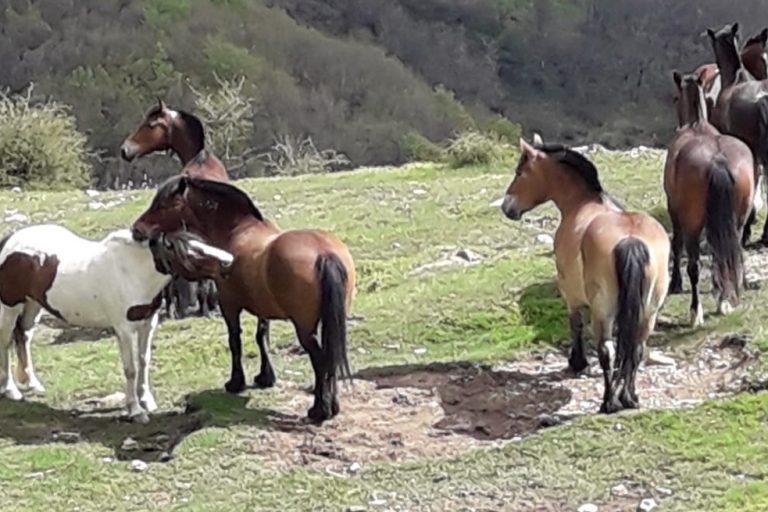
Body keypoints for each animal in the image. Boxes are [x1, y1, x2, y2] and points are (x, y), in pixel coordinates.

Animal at [0, 225, 233, 423]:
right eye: (193, 252)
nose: (230, 260)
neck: (131, 271)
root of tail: (10, 241)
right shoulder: (124, 329)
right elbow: (130, 368)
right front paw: (136, 410)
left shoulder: (148, 323)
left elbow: (144, 361)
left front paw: (147, 401)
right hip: (10, 307)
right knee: (6, 343)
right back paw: (11, 390)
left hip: (32, 305)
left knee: (23, 337)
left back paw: (33, 383)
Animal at [131, 176, 356, 423]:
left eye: (164, 204)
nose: (136, 229)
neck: (238, 231)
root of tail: (325, 254)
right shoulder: (263, 308)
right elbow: (262, 338)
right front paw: (265, 377)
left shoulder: (229, 306)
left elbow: (235, 341)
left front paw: (235, 382)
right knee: (331, 358)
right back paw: (332, 406)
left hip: (305, 328)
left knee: (321, 360)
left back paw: (320, 410)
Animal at [501, 140, 670, 414]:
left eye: (519, 172)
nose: (507, 207)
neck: (582, 203)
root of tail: (630, 240)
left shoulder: (569, 293)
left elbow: (575, 324)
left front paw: (577, 362)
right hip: (649, 310)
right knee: (636, 348)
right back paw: (630, 397)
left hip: (603, 309)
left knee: (607, 350)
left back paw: (609, 402)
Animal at [666, 71, 755, 326]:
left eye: (676, 98)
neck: (697, 125)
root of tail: (718, 160)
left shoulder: (674, 210)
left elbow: (676, 246)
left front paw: (675, 284)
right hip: (738, 220)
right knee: (732, 255)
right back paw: (726, 297)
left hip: (693, 222)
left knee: (694, 265)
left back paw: (695, 311)